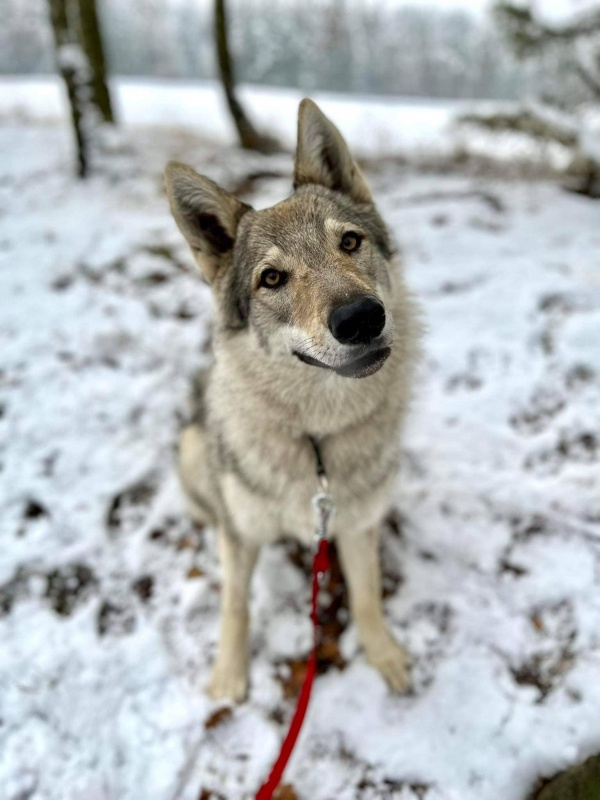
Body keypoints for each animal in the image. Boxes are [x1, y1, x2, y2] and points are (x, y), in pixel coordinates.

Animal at [164, 100, 422, 700]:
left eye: (349, 242)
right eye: (272, 278)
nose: (361, 318)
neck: (317, 439)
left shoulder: (355, 525)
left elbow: (368, 597)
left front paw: (383, 655)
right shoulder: (241, 535)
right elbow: (234, 605)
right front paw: (229, 677)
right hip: (193, 449)